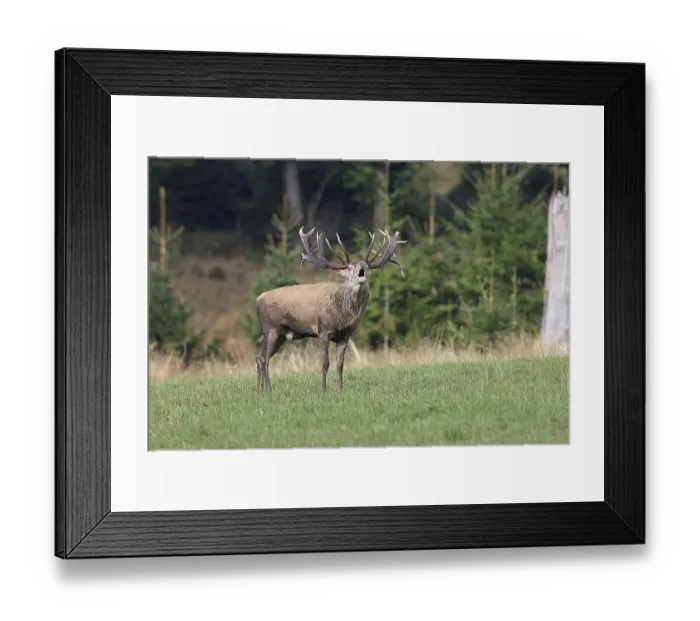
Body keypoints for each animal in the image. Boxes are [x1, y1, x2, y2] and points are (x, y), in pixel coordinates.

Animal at [255, 227, 406, 393]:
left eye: (366, 267)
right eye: (350, 268)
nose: (361, 267)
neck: (342, 315)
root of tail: (258, 299)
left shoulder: (345, 335)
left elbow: (340, 364)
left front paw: (340, 390)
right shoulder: (323, 330)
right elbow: (325, 362)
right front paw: (323, 390)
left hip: (281, 335)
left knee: (260, 358)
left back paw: (260, 390)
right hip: (271, 328)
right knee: (264, 359)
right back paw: (269, 389)